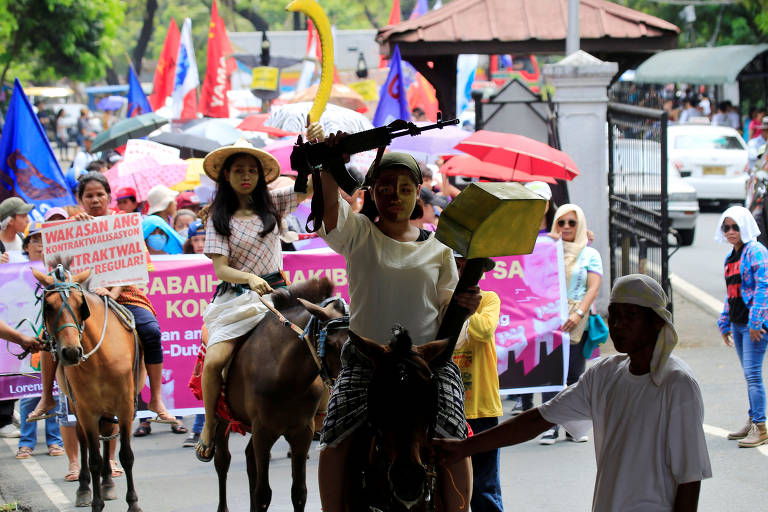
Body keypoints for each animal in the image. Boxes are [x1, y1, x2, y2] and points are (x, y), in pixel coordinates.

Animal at [33, 266, 142, 510]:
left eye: (79, 305)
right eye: (49, 306)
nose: (71, 352)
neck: (99, 358)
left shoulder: (124, 406)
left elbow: (127, 455)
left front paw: (133, 503)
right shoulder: (86, 410)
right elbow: (93, 459)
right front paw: (95, 502)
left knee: (108, 434)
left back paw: (108, 482)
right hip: (77, 407)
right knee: (82, 442)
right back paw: (84, 486)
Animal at [214, 280, 350, 512]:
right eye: (333, 344)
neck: (287, 376)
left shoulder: (302, 432)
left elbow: (299, 492)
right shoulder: (263, 431)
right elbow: (263, 494)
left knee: (249, 459)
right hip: (221, 417)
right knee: (222, 461)